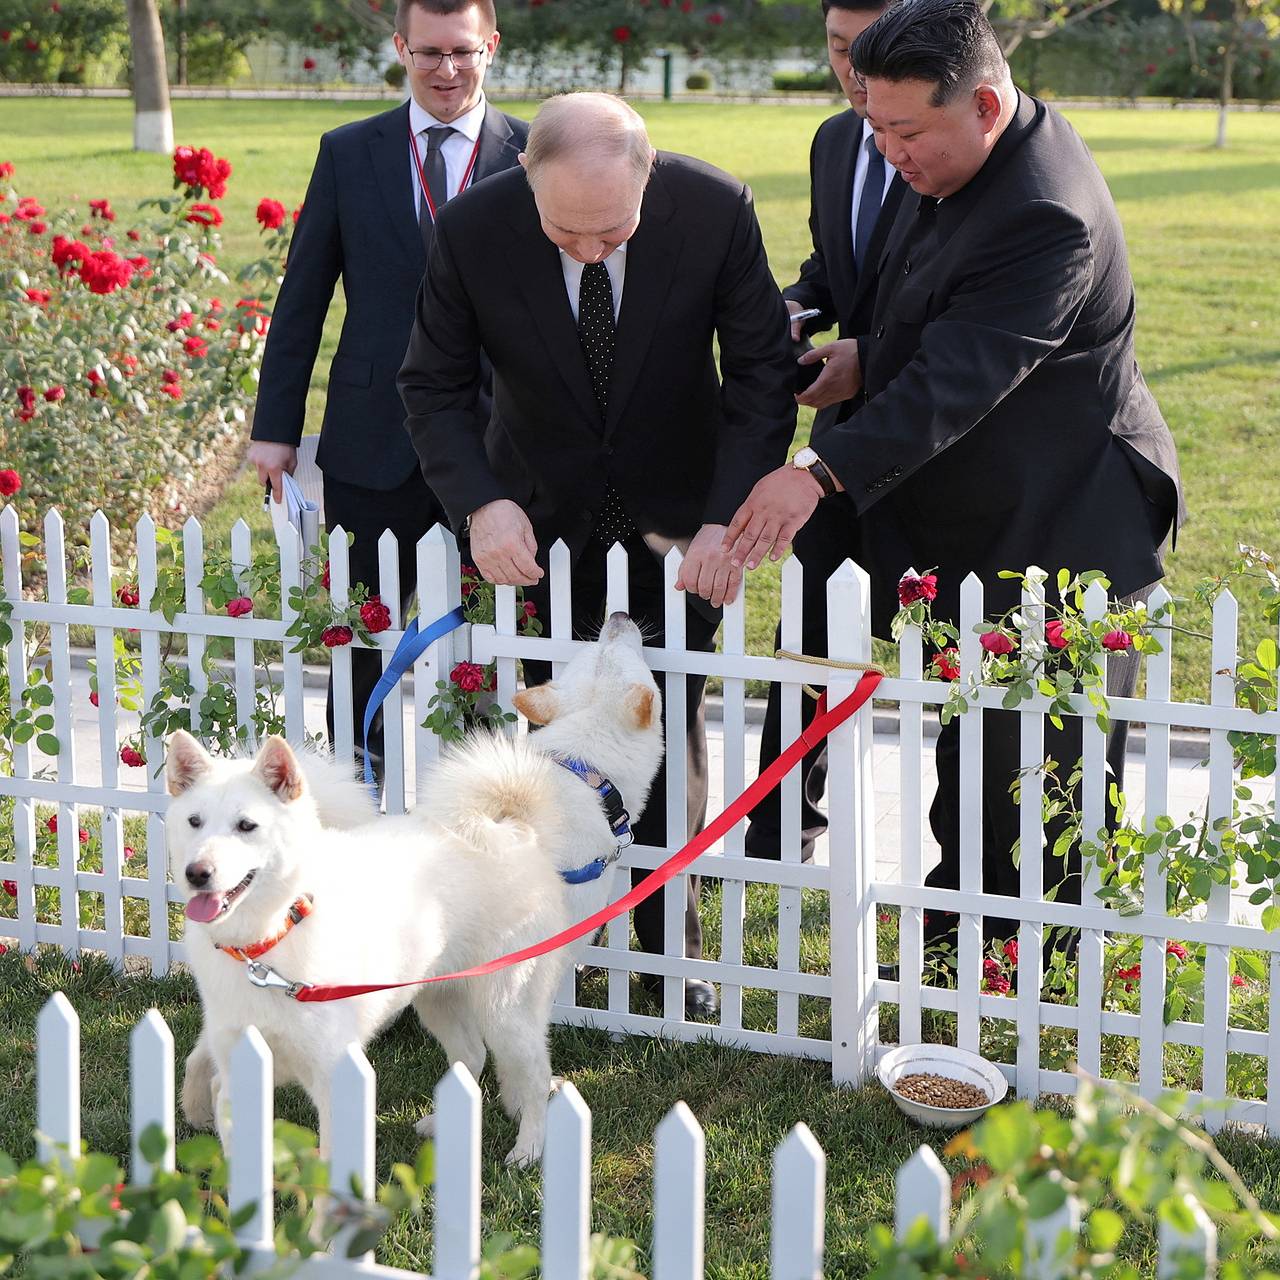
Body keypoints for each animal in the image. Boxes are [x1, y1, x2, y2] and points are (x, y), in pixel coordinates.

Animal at [166, 614, 665, 1167]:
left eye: (598, 647)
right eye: (613, 649)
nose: (619, 617)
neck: (580, 771)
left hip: (439, 992)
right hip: (492, 998)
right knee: (497, 1056)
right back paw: (524, 1146)